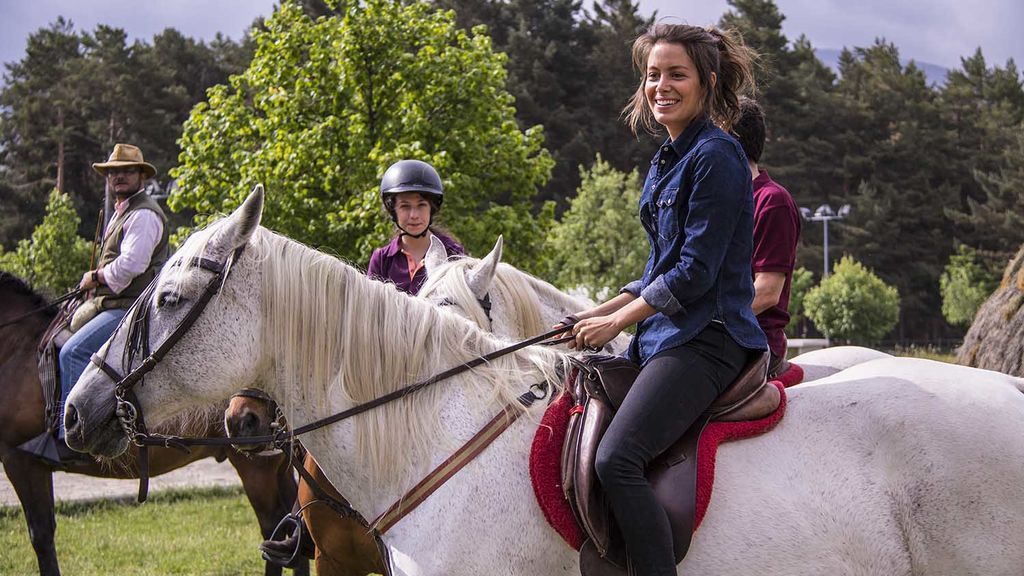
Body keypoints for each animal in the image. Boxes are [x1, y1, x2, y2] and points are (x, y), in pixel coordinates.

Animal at [0, 270, 307, 573]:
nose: (74, 416)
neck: (17, 348)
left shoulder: (22, 461)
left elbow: (41, 536)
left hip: (256, 466)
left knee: (274, 527)